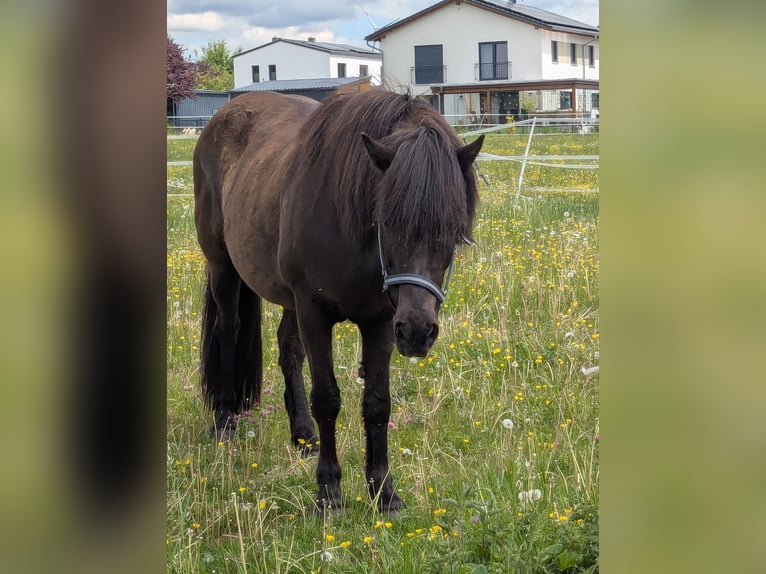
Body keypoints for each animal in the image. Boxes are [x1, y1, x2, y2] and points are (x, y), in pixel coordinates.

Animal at [193, 89, 484, 513]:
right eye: (388, 220)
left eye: (452, 227)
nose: (417, 332)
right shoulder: (315, 314)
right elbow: (327, 398)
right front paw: (329, 492)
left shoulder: (381, 323)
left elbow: (377, 403)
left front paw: (383, 491)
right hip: (223, 268)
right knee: (228, 331)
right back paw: (225, 421)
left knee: (288, 349)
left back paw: (303, 435)